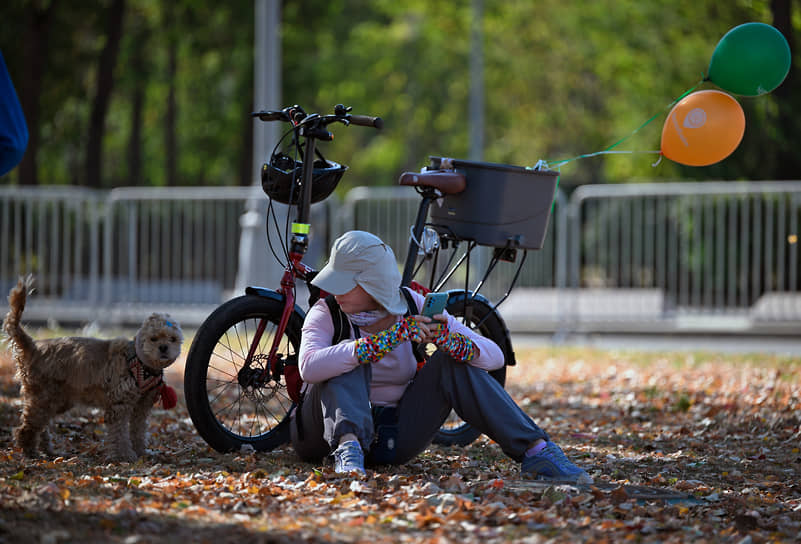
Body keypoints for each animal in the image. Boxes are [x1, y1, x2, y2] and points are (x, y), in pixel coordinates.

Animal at [2, 278, 183, 462]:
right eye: (153, 339)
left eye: (173, 339)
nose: (163, 347)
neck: (140, 361)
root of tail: (33, 346)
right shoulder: (119, 405)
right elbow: (120, 433)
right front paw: (125, 455)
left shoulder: (141, 407)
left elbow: (138, 431)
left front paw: (140, 452)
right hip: (43, 397)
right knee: (27, 428)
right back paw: (30, 452)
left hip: (57, 400)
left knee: (42, 426)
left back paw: (48, 451)